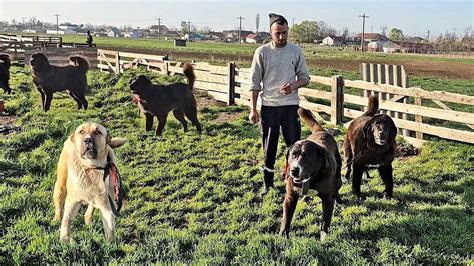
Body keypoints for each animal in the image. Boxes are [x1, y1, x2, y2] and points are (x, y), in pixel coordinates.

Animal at [280, 108, 342, 241]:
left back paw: (339, 199)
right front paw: (282, 236)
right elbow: (286, 219)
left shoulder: (328, 200)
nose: (294, 170)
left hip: (338, 176)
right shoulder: (290, 197)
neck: (311, 179)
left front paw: (324, 239)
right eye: (293, 156)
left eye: (306, 157)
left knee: (337, 187)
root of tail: (321, 131)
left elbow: (325, 222)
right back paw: (306, 197)